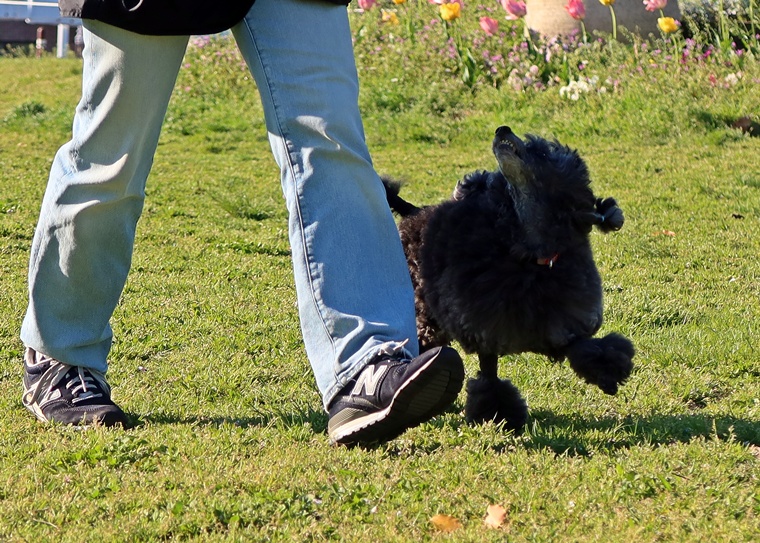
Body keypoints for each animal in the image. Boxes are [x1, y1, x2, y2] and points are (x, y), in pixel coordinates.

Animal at [382, 125, 635, 433]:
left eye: (542, 154)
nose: (503, 129)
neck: (531, 256)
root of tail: (415, 213)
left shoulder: (562, 326)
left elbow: (586, 348)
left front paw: (608, 375)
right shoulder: (485, 332)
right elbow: (490, 380)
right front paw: (499, 417)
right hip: (425, 310)